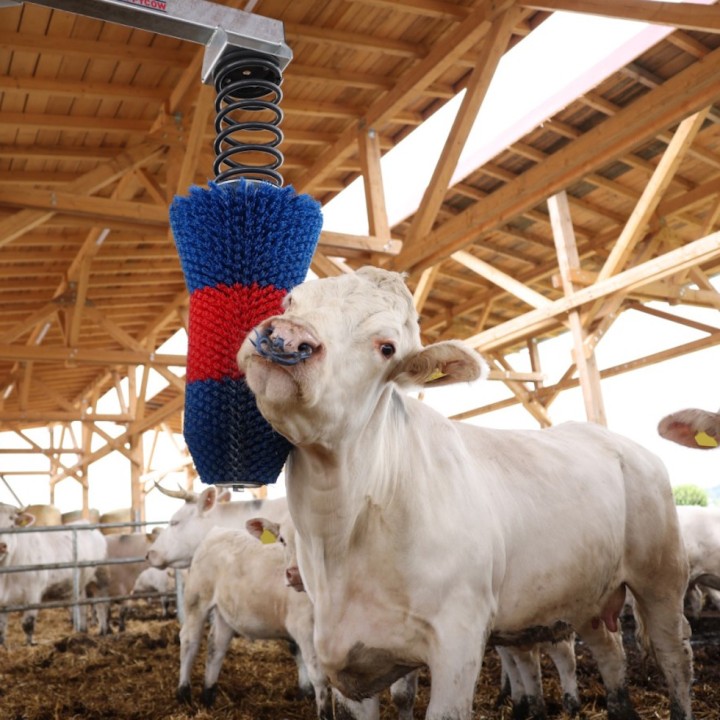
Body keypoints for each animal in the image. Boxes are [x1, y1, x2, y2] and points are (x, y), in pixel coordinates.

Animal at [0, 503, 110, 645]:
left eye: (12, 526)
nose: (2, 546)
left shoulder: (33, 594)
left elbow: (28, 625)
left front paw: (29, 645)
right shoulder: (3, 602)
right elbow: (1, 630)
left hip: (100, 578)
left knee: (102, 605)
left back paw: (103, 631)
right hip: (80, 585)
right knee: (82, 607)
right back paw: (82, 632)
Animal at [175, 524, 332, 719]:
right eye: (282, 540)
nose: (295, 575)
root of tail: (218, 530)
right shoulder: (304, 626)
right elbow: (318, 675)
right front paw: (324, 712)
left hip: (225, 613)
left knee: (216, 646)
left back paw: (208, 697)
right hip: (196, 598)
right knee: (189, 641)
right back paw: (183, 694)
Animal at [237, 265, 695, 720]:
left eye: (387, 347)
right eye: (292, 302)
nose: (285, 338)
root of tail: (617, 441)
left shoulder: (458, 639)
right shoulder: (347, 658)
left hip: (661, 578)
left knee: (675, 655)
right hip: (585, 594)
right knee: (611, 651)